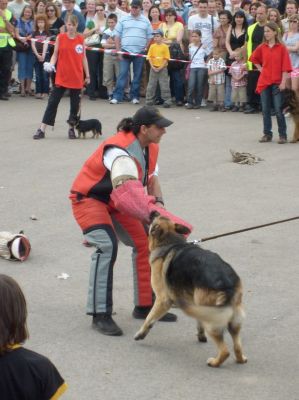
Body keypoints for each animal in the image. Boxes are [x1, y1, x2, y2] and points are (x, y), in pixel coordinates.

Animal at [136, 214, 248, 368]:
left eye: (155, 219)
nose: (153, 211)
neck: (170, 242)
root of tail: (227, 285)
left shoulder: (162, 300)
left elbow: (149, 318)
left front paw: (141, 334)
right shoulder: (195, 305)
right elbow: (197, 320)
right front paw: (200, 335)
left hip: (213, 321)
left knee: (225, 350)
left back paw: (215, 362)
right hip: (232, 320)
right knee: (237, 346)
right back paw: (240, 359)